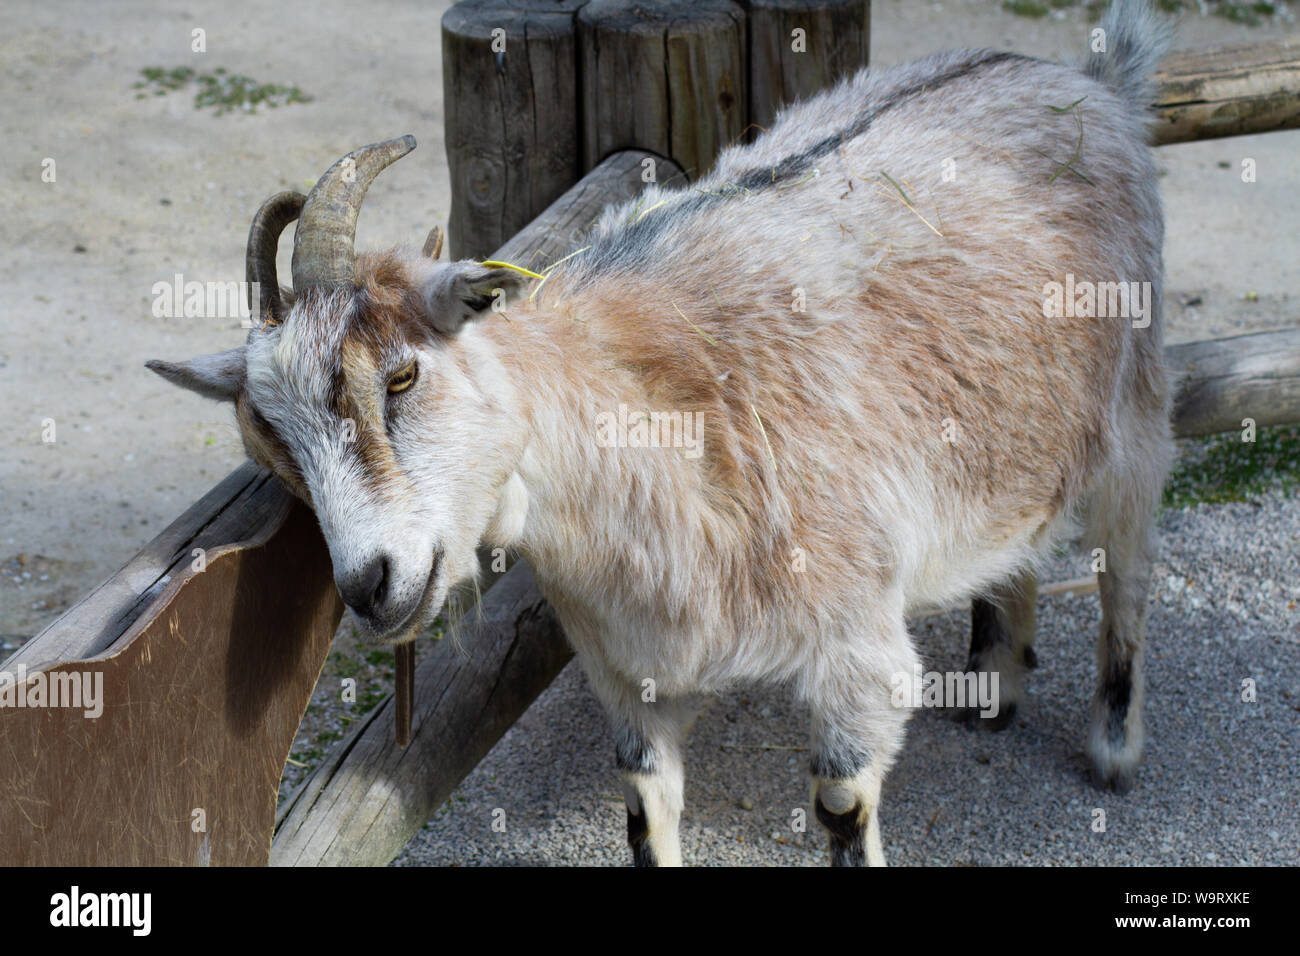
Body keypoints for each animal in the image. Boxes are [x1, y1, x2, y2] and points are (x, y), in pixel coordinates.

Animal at [149, 0, 1174, 866]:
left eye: (401, 374)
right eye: (274, 450)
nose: (370, 586)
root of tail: (1088, 82)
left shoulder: (856, 646)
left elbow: (843, 807)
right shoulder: (626, 673)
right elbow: (646, 812)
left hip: (1135, 402)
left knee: (1126, 566)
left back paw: (1114, 746)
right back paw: (996, 681)